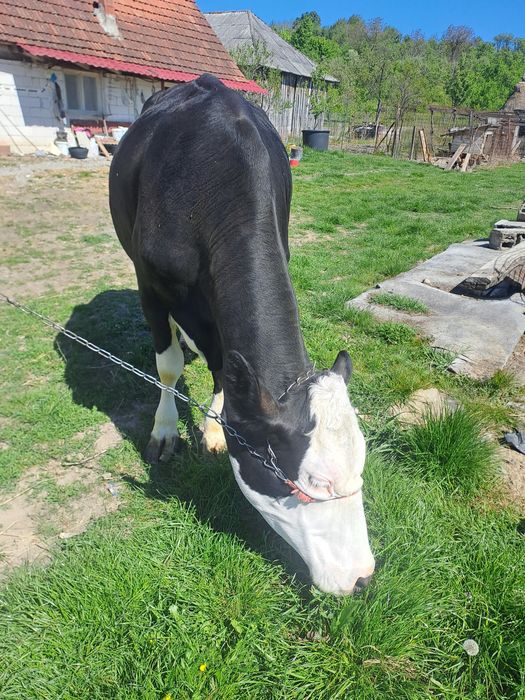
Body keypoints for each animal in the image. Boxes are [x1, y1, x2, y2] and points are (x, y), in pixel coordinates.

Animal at [109, 74, 374, 595]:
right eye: (316, 483)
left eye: (360, 466)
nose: (363, 577)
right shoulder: (150, 282)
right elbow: (167, 367)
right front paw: (165, 431)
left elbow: (223, 369)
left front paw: (214, 431)